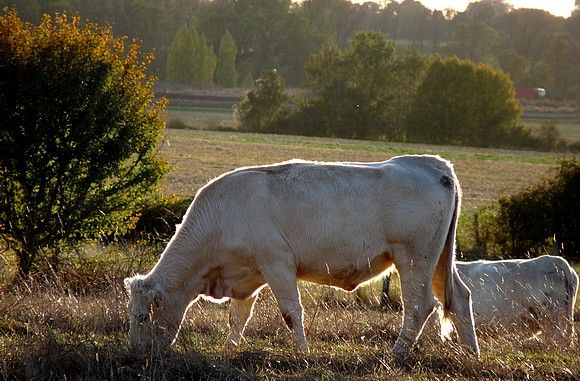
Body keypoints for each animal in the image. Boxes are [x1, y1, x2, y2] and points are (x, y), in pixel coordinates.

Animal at [123, 155, 480, 366]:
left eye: (141, 317)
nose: (135, 354)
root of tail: (433, 163)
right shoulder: (247, 273)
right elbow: (238, 315)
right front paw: (229, 348)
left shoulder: (276, 263)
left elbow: (291, 312)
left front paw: (302, 352)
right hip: (439, 259)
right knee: (460, 297)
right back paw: (470, 353)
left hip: (414, 259)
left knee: (420, 306)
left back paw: (397, 353)